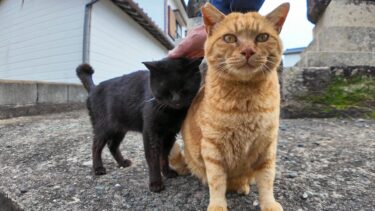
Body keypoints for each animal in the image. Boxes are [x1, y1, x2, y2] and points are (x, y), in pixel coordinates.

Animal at [74, 56, 201, 192]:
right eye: (166, 90)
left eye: (184, 89)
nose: (176, 100)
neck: (171, 113)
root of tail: (94, 88)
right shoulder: (150, 132)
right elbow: (153, 158)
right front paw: (156, 183)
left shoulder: (170, 134)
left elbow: (164, 155)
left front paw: (167, 172)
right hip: (104, 127)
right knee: (96, 146)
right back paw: (98, 168)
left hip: (120, 129)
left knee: (112, 145)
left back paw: (122, 162)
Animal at [170, 2, 290, 211]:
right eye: (229, 38)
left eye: (262, 37)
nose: (248, 51)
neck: (245, 100)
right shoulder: (212, 148)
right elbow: (217, 182)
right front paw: (218, 206)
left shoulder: (266, 146)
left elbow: (267, 180)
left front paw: (269, 203)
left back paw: (242, 186)